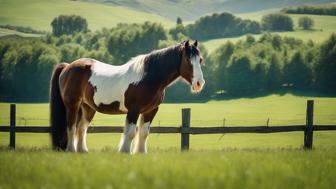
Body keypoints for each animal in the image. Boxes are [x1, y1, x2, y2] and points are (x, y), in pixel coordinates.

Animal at [49, 40, 205, 154]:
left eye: (200, 60)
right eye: (187, 59)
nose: (199, 83)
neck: (148, 77)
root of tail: (68, 66)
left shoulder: (151, 110)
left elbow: (144, 133)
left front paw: (141, 153)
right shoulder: (134, 110)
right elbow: (130, 133)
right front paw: (125, 152)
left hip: (88, 107)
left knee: (81, 128)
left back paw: (83, 151)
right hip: (73, 105)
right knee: (71, 126)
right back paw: (71, 150)